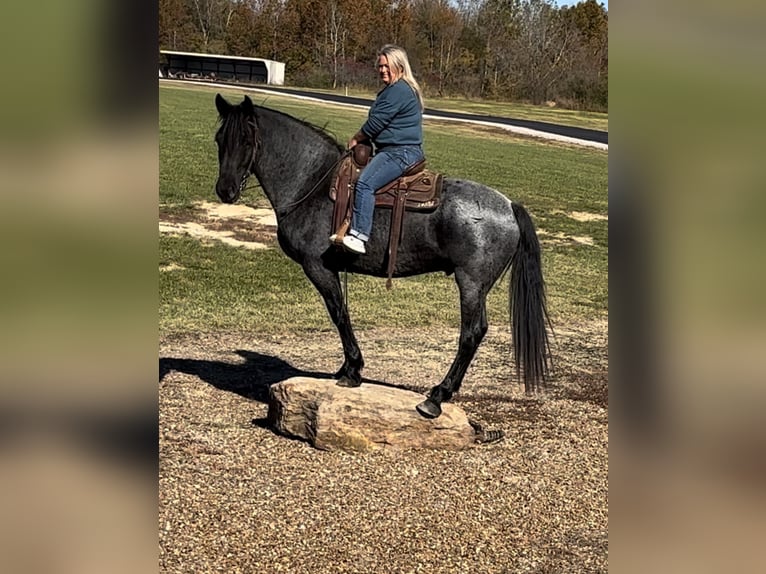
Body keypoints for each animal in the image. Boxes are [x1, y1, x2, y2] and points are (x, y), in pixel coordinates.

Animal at [216, 93, 552, 418]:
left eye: (246, 139)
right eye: (220, 139)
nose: (225, 190)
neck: (313, 183)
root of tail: (509, 205)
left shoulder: (318, 267)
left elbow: (339, 312)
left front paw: (352, 370)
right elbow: (342, 312)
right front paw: (347, 368)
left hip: (471, 283)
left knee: (471, 333)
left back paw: (436, 397)